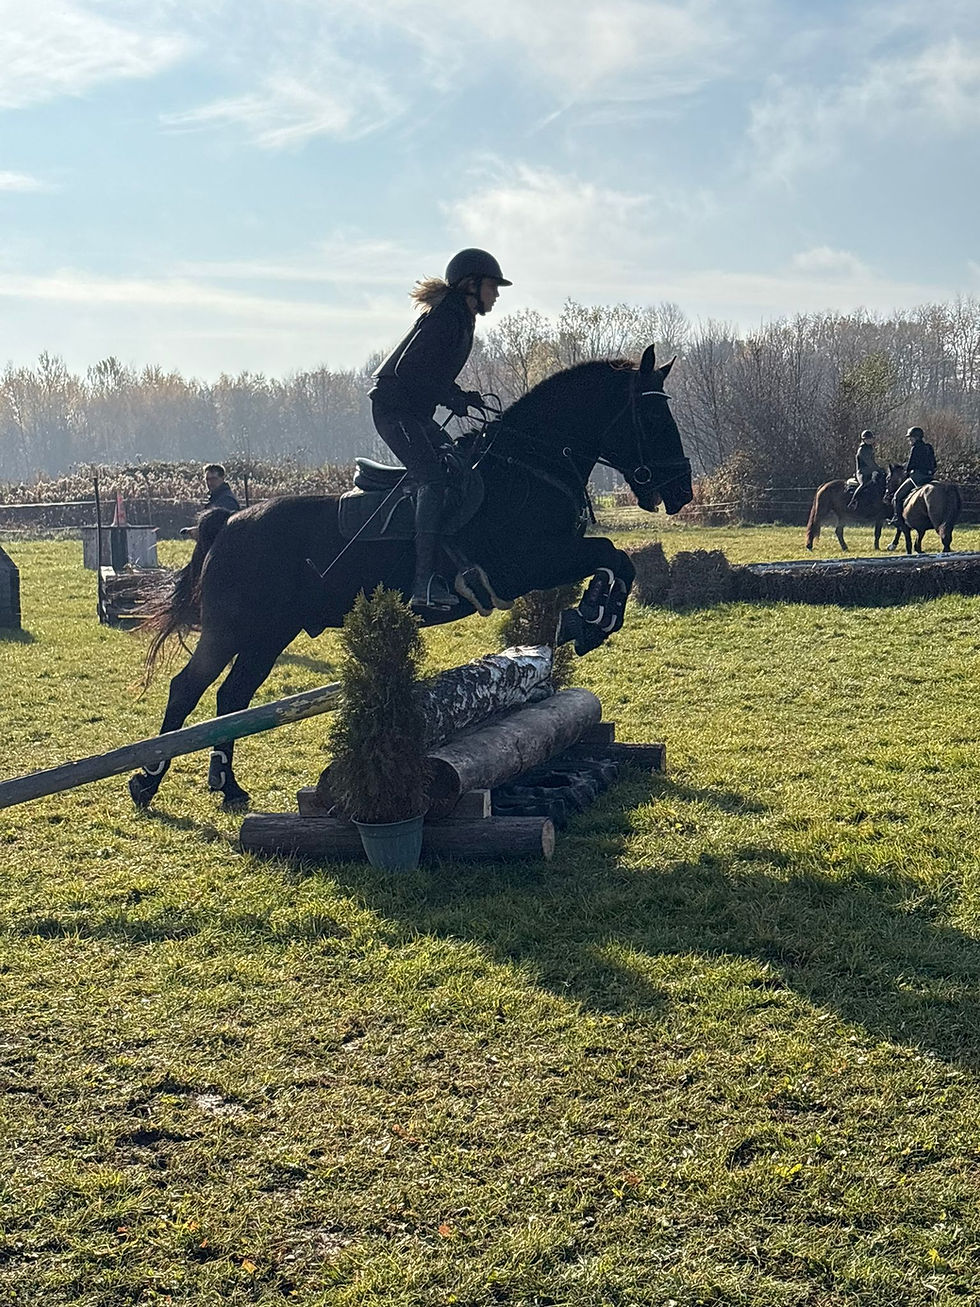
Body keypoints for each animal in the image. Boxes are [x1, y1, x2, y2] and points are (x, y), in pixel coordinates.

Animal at [130, 346, 692, 811]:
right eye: (652, 416)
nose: (682, 491)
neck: (528, 465)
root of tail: (229, 521)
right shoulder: (528, 565)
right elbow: (613, 557)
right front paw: (592, 617)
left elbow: (617, 560)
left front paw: (592, 617)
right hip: (233, 629)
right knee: (188, 689)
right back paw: (146, 782)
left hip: (269, 635)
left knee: (232, 698)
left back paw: (227, 786)